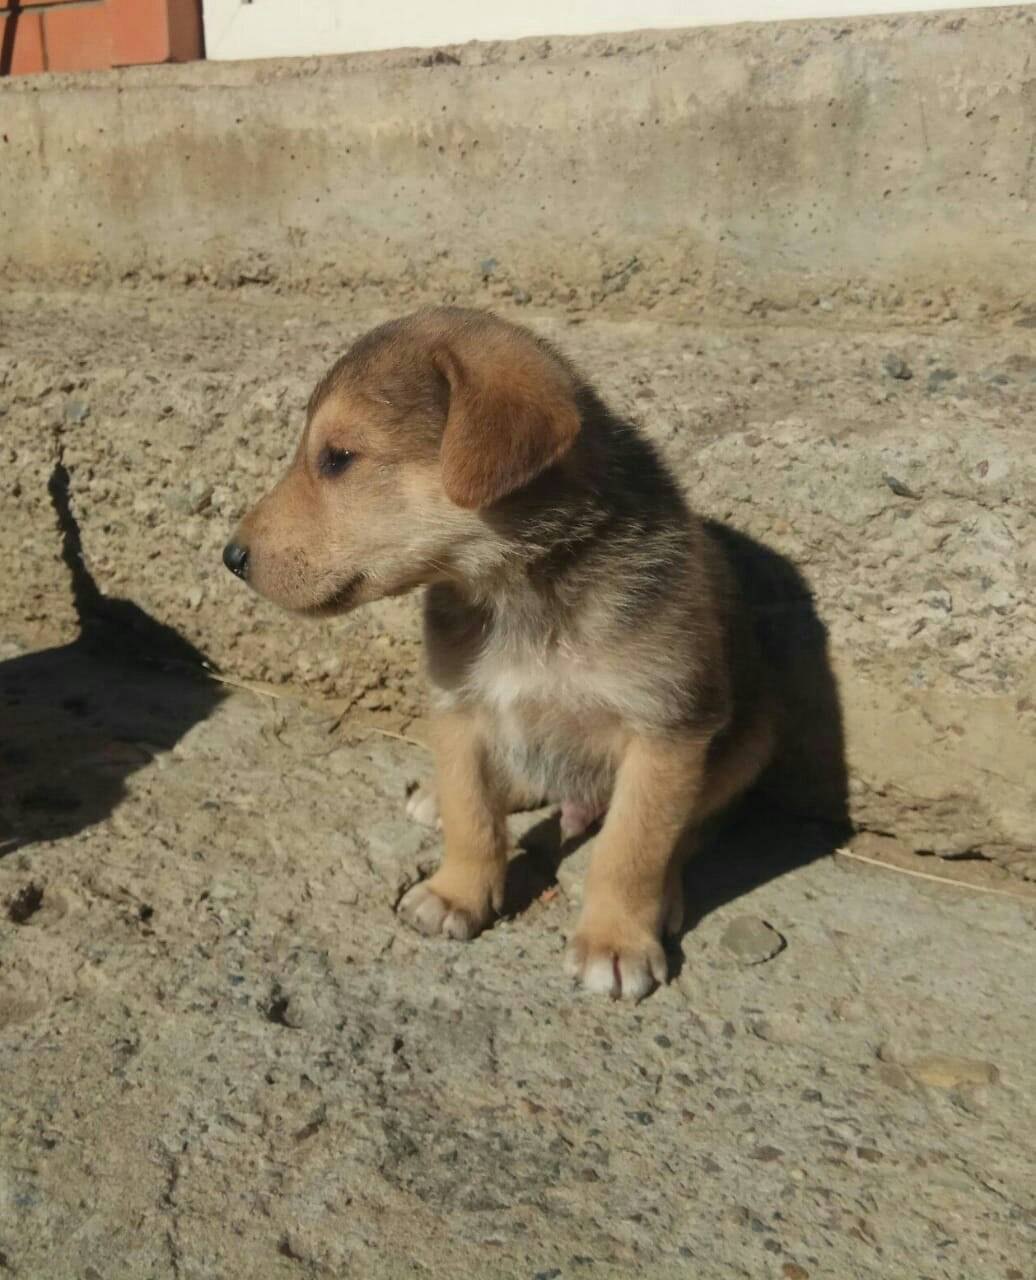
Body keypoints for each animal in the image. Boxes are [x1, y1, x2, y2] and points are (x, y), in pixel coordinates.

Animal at [226, 304, 778, 993]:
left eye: (339, 458)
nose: (231, 557)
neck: (515, 591)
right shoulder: (459, 708)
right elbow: (472, 816)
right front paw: (457, 893)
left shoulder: (667, 728)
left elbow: (632, 848)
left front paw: (616, 939)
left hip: (749, 743)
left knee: (690, 828)